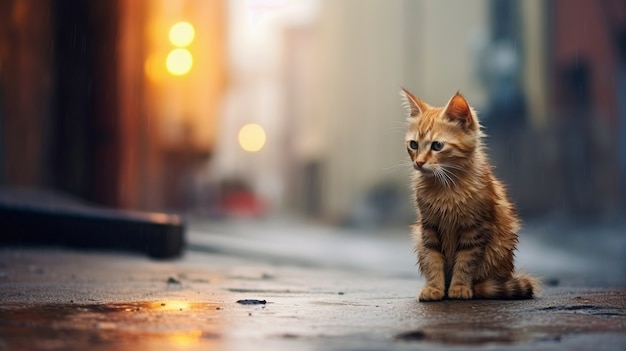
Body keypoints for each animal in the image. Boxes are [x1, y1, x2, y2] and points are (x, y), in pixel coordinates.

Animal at [400, 88, 536, 302]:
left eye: (437, 146)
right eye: (413, 145)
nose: (419, 162)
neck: (445, 186)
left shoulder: (475, 229)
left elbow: (465, 263)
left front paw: (459, 287)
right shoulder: (428, 228)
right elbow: (433, 259)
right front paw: (434, 288)